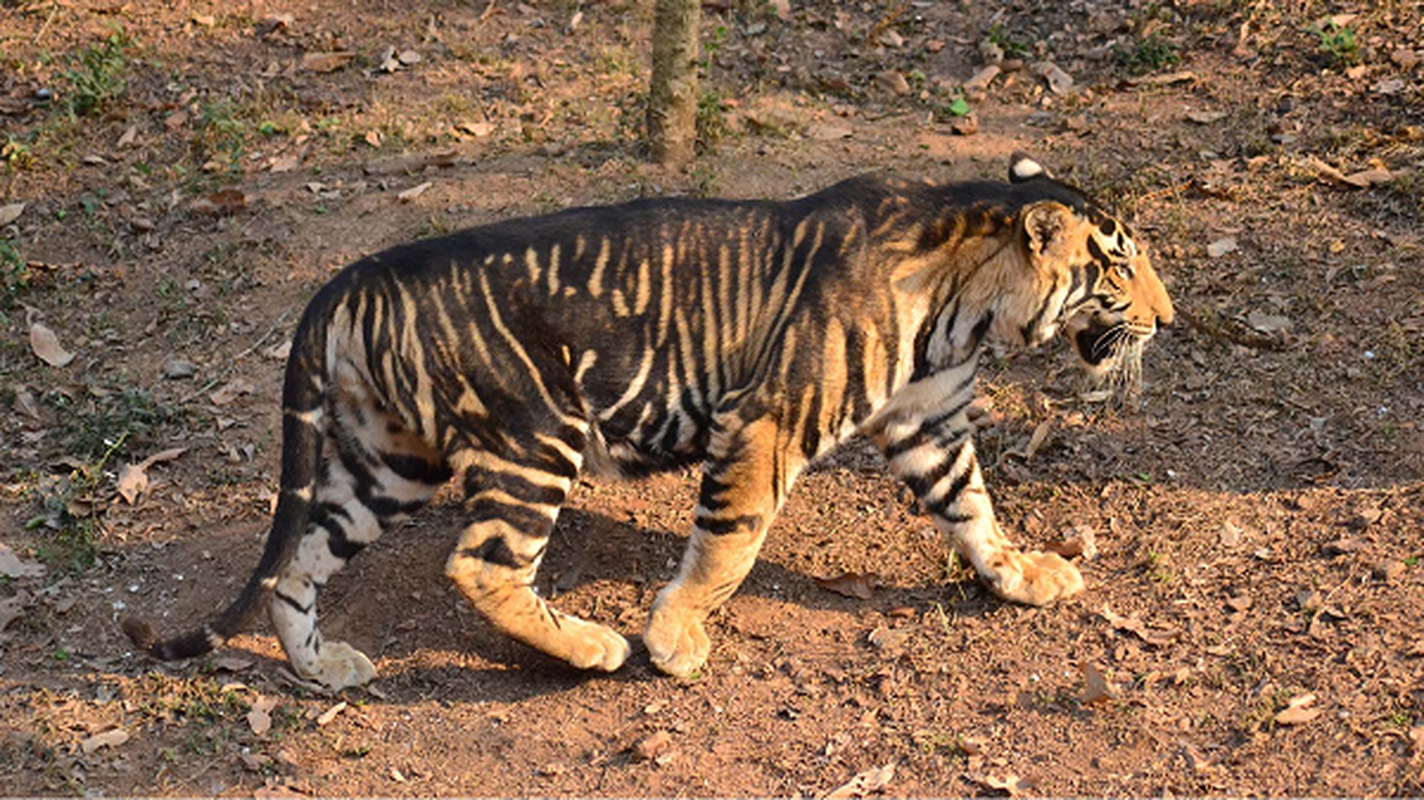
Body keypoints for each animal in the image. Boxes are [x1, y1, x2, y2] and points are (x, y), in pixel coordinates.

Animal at [122, 154, 1173, 686]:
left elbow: (974, 509)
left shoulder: (931, 424)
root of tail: (359, 273)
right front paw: (673, 640)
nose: (1168, 320)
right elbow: (729, 545)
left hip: (391, 463)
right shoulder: (767, 425)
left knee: (298, 565)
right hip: (535, 436)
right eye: (1120, 265)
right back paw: (593, 647)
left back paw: (323, 668)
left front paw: (1022, 575)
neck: (970, 305)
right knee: (482, 565)